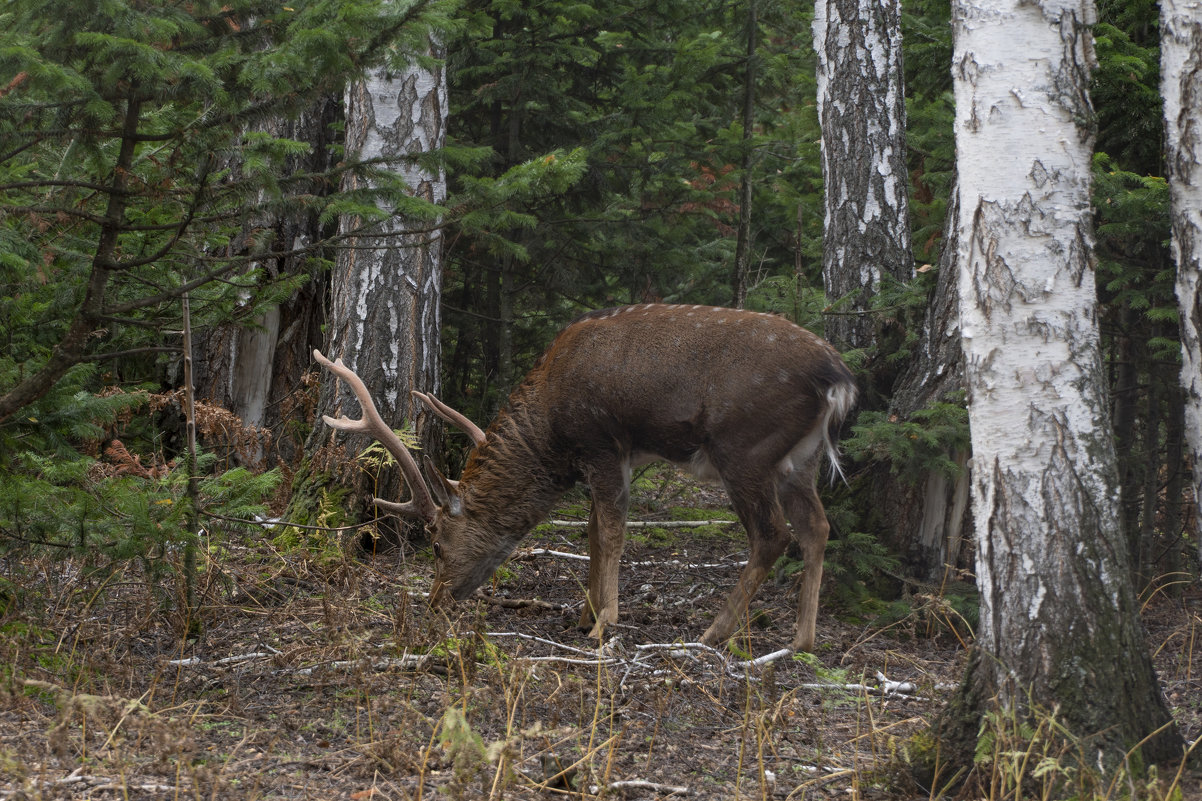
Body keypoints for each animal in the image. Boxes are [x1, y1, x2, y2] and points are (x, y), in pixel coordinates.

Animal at [314, 300, 860, 649]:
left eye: (435, 544)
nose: (435, 601)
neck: (551, 432)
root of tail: (837, 377)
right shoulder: (607, 458)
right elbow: (595, 533)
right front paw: (585, 615)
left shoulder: (601, 443)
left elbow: (613, 533)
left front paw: (604, 626)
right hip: (801, 458)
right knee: (817, 526)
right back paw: (803, 639)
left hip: (745, 448)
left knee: (772, 535)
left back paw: (714, 633)